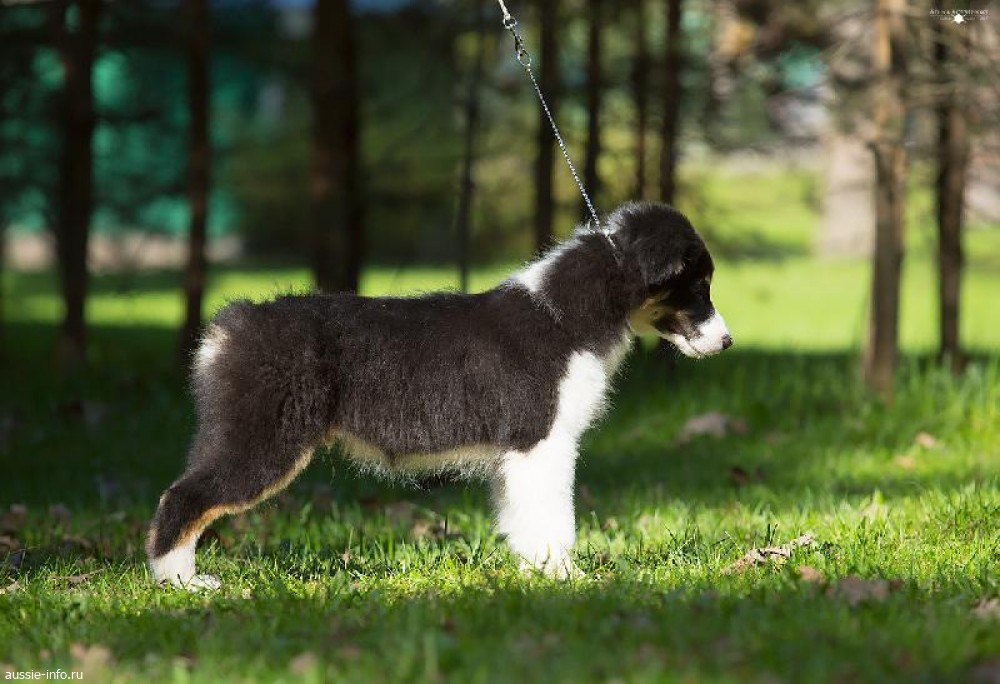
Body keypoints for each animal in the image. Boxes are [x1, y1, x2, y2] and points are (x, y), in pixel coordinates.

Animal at [146, 201, 732, 588]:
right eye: (698, 285)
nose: (727, 342)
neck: (568, 316)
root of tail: (231, 323)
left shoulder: (516, 457)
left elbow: (522, 519)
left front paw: (535, 575)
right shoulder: (542, 442)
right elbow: (555, 517)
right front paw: (569, 577)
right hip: (264, 440)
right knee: (182, 497)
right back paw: (180, 583)